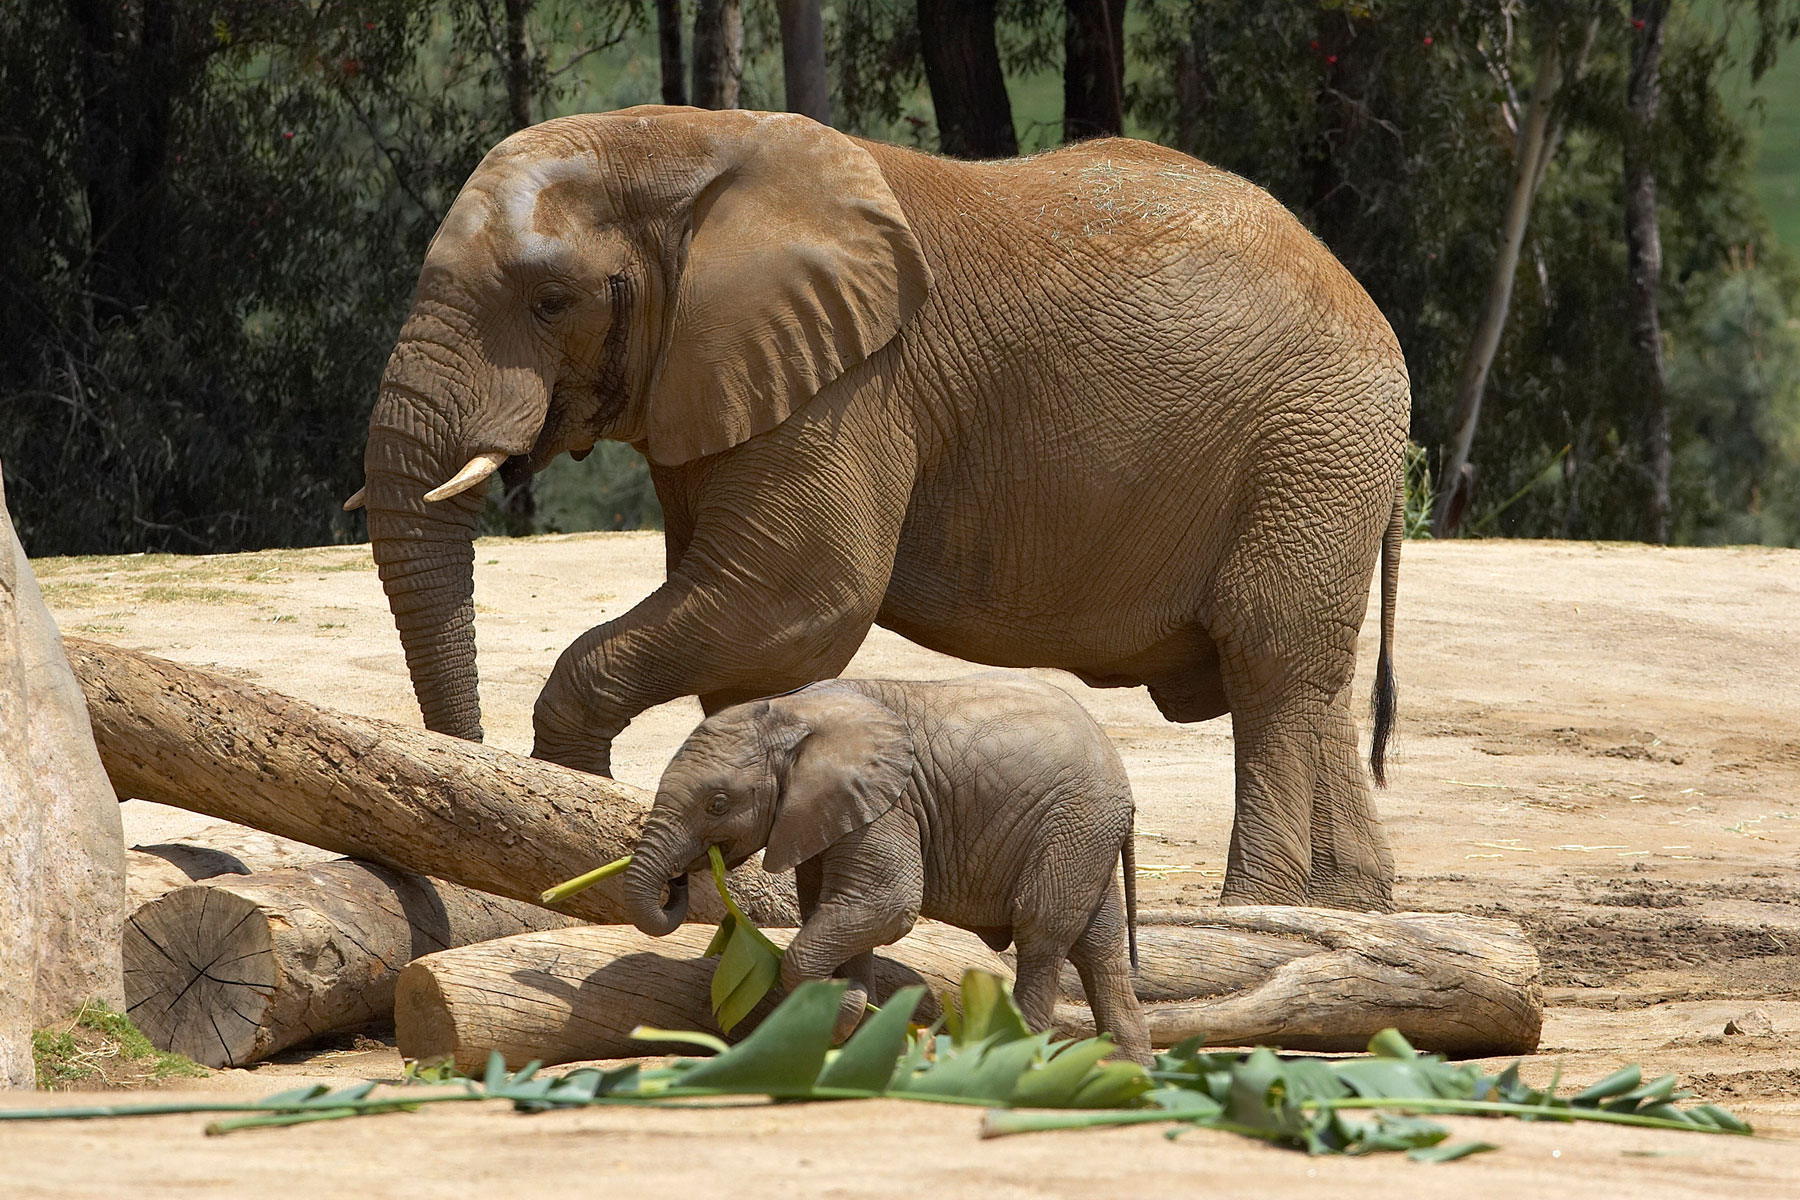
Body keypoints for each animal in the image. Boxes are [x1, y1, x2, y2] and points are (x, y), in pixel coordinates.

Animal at [347, 107, 1404, 910]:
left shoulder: (851, 383)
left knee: (1268, 662)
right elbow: (750, 638)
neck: (672, 141)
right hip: (1324, 462)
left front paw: (574, 800)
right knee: (1307, 677)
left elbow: (798, 599)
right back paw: (1349, 910)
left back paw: (1256, 910)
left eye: (551, 301)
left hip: (1312, 443)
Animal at [619, 680, 1152, 1065]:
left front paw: (843, 1011)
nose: (681, 877)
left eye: (718, 803)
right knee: (1098, 947)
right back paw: (1132, 1073)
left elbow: (886, 906)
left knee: (1042, 933)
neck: (790, 710)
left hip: (1073, 822)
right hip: (1087, 835)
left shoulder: (888, 803)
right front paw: (857, 1032)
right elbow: (835, 909)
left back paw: (1011, 1057)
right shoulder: (825, 816)